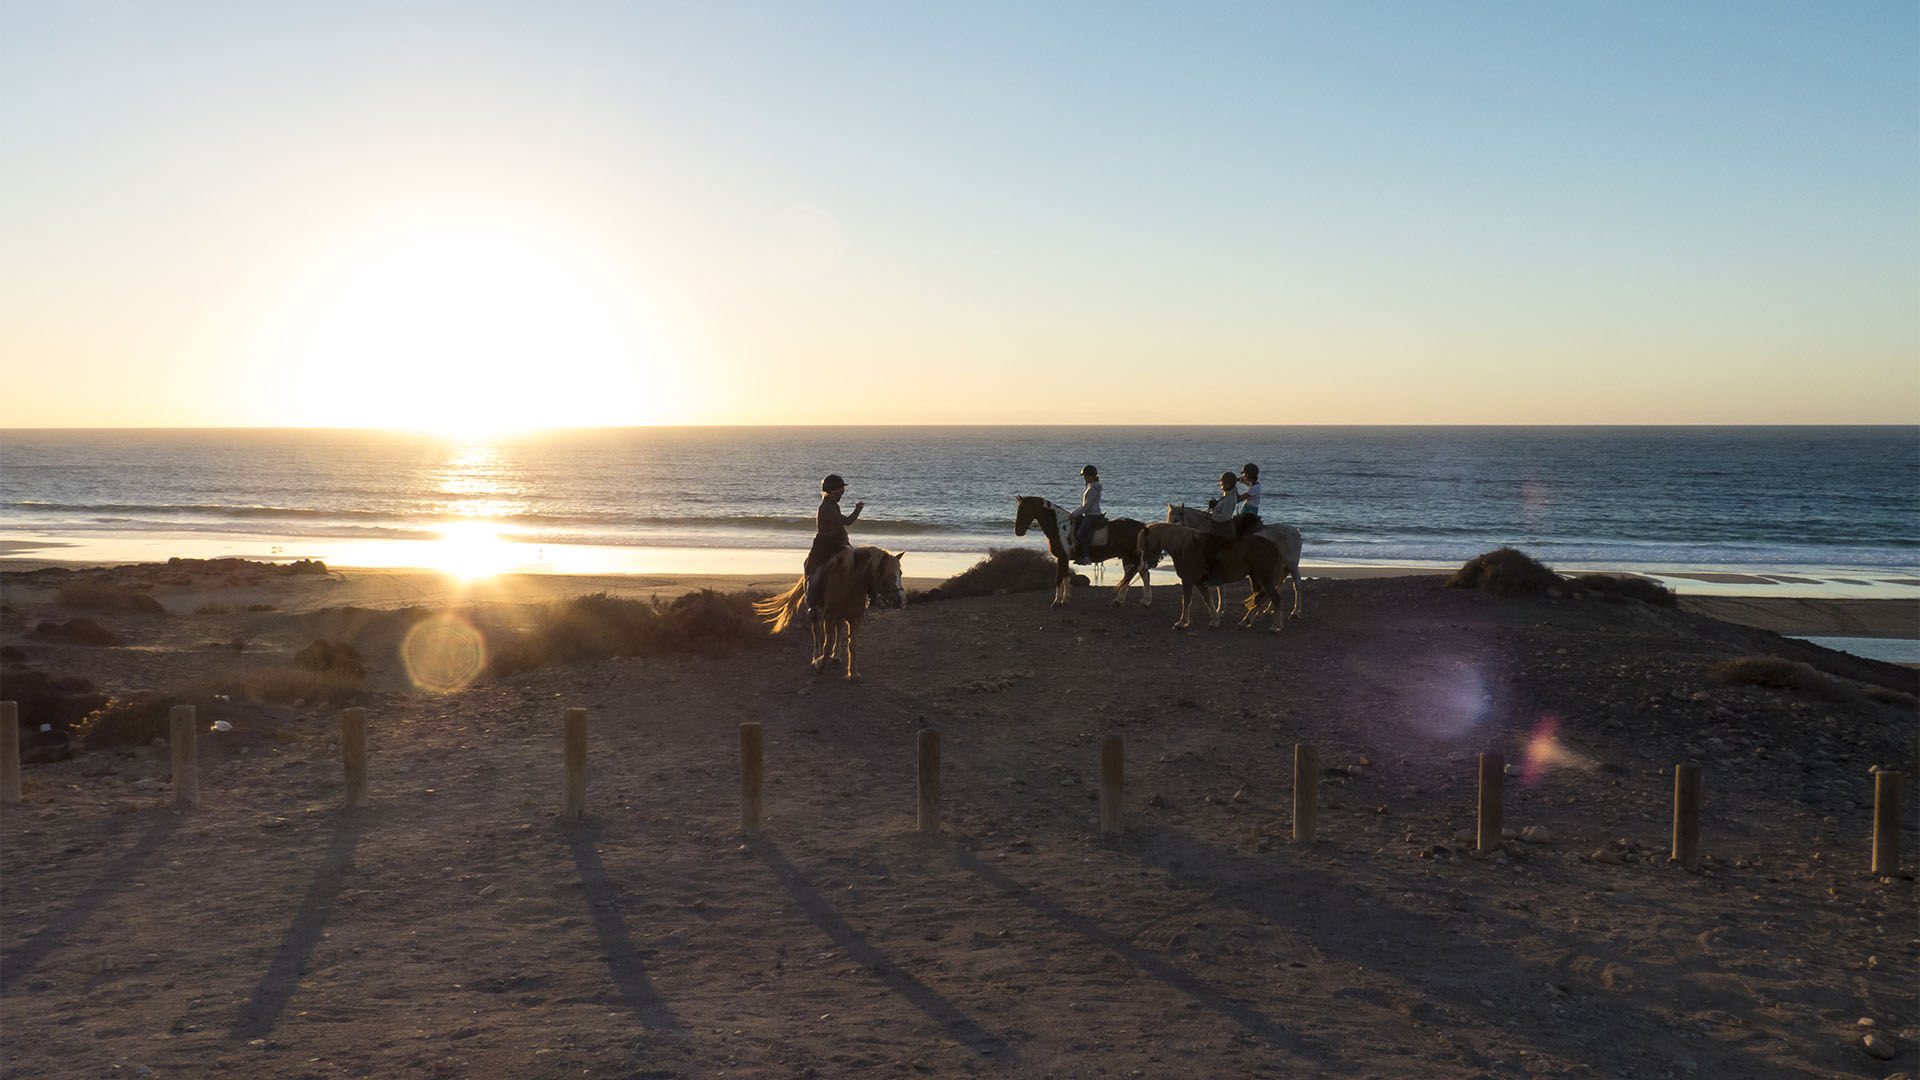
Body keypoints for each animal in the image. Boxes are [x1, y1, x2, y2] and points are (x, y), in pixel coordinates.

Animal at [752, 541, 902, 676]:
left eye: (900, 573)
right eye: (888, 575)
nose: (900, 601)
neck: (849, 585)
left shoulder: (855, 618)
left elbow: (852, 645)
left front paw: (853, 672)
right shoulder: (829, 617)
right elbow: (827, 646)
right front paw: (819, 664)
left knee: (839, 629)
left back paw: (836, 655)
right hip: (817, 610)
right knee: (817, 631)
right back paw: (816, 655)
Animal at [1013, 495, 1144, 607]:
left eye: (1024, 509)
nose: (1018, 531)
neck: (1060, 527)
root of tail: (1141, 526)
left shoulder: (1062, 557)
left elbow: (1058, 578)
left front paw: (1056, 602)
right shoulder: (1064, 558)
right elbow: (1066, 578)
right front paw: (1065, 599)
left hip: (1132, 556)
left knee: (1135, 575)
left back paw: (1126, 601)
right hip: (1127, 557)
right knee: (1138, 575)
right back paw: (1136, 601)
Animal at [1136, 522, 1290, 630]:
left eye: (1146, 543)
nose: (1149, 563)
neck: (1185, 548)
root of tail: (1275, 547)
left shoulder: (1187, 580)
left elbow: (1186, 601)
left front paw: (1182, 623)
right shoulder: (1198, 582)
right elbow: (1208, 601)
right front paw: (1215, 620)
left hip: (1264, 579)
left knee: (1275, 599)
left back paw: (1276, 627)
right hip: (1255, 578)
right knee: (1259, 599)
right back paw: (1245, 622)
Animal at [1159, 503, 1313, 622]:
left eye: (1176, 520)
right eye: (1168, 519)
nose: (1168, 536)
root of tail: (1296, 532)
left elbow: (1220, 587)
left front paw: (1219, 611)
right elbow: (1220, 588)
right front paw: (1221, 610)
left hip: (1292, 564)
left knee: (1297, 585)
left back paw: (1295, 612)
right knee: (1278, 583)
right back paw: (1269, 610)